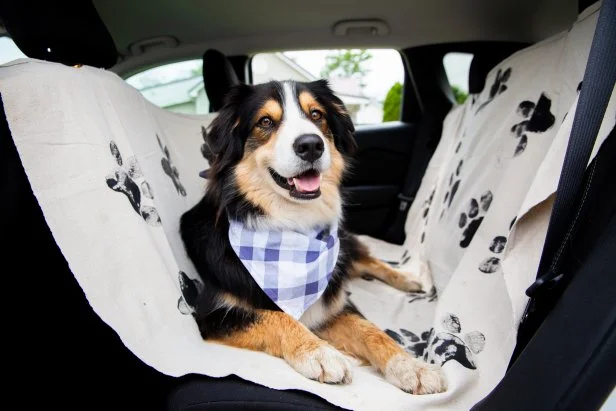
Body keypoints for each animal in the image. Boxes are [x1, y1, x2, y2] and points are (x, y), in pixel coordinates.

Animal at [180, 80, 446, 396]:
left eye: (316, 114)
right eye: (265, 122)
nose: (310, 145)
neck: (291, 227)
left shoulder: (333, 304)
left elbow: (371, 331)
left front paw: (411, 366)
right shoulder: (213, 315)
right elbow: (274, 316)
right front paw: (318, 351)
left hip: (344, 245)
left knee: (366, 260)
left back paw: (407, 279)